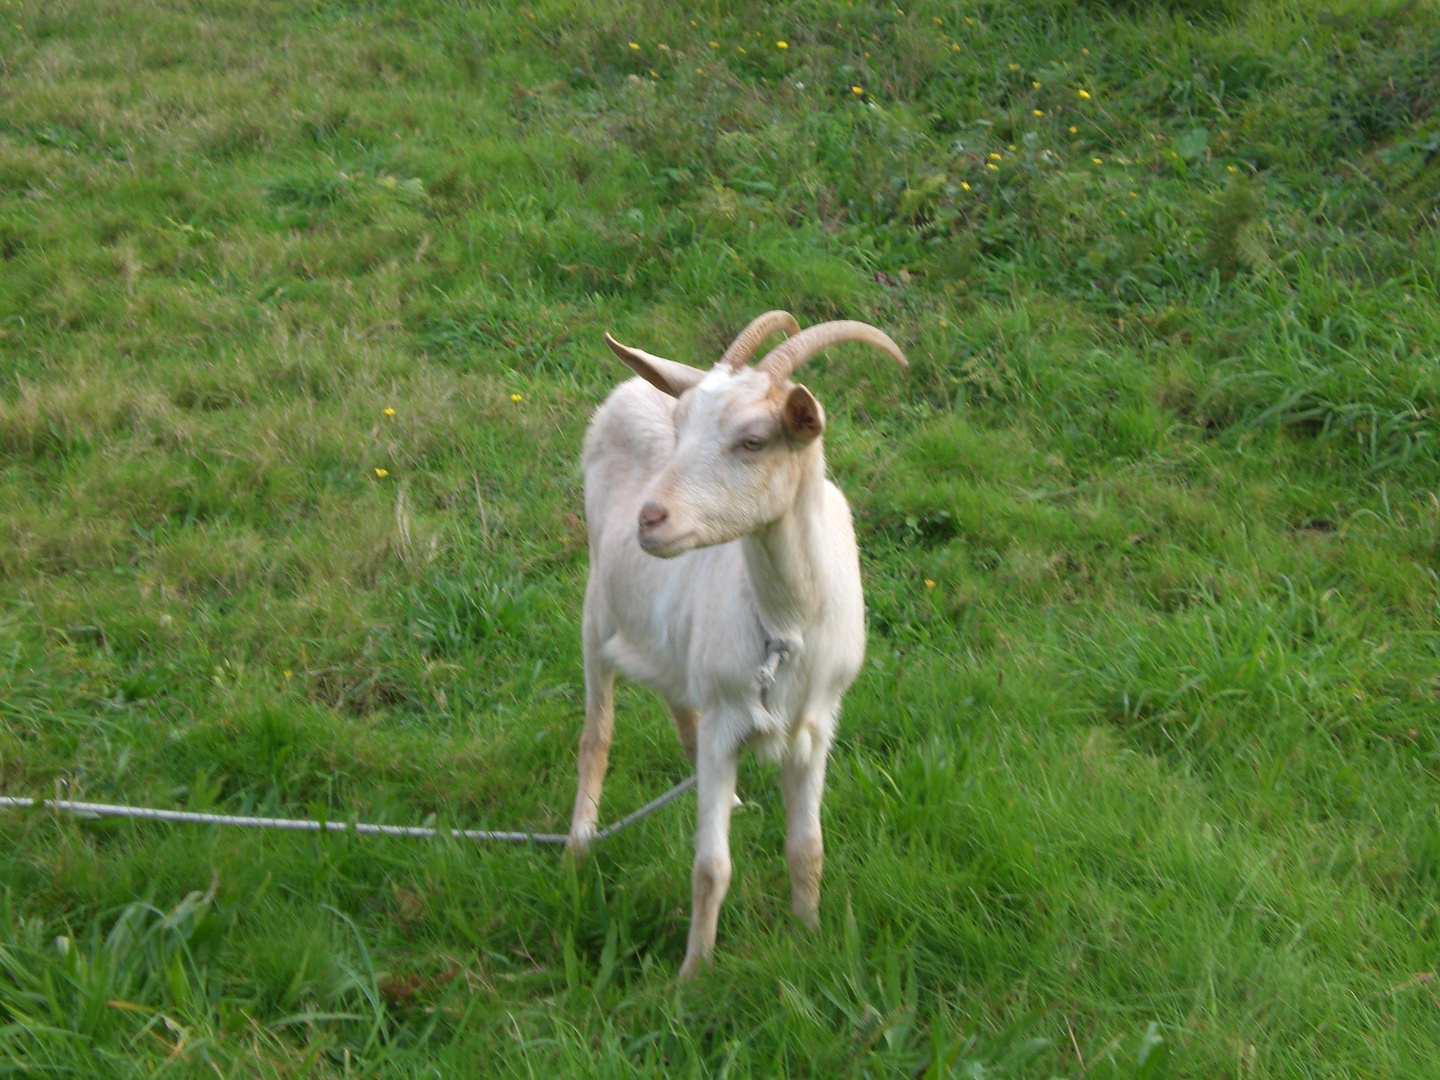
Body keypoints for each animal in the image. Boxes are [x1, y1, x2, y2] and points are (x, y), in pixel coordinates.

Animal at [567, 312, 904, 979]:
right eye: (679, 429)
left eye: (754, 441)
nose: (650, 519)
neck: (786, 627)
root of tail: (634, 386)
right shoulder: (727, 721)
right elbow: (710, 868)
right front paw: (694, 975)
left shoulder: (816, 727)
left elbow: (807, 848)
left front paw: (808, 936)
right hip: (597, 615)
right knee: (598, 733)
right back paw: (578, 844)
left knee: (678, 702)